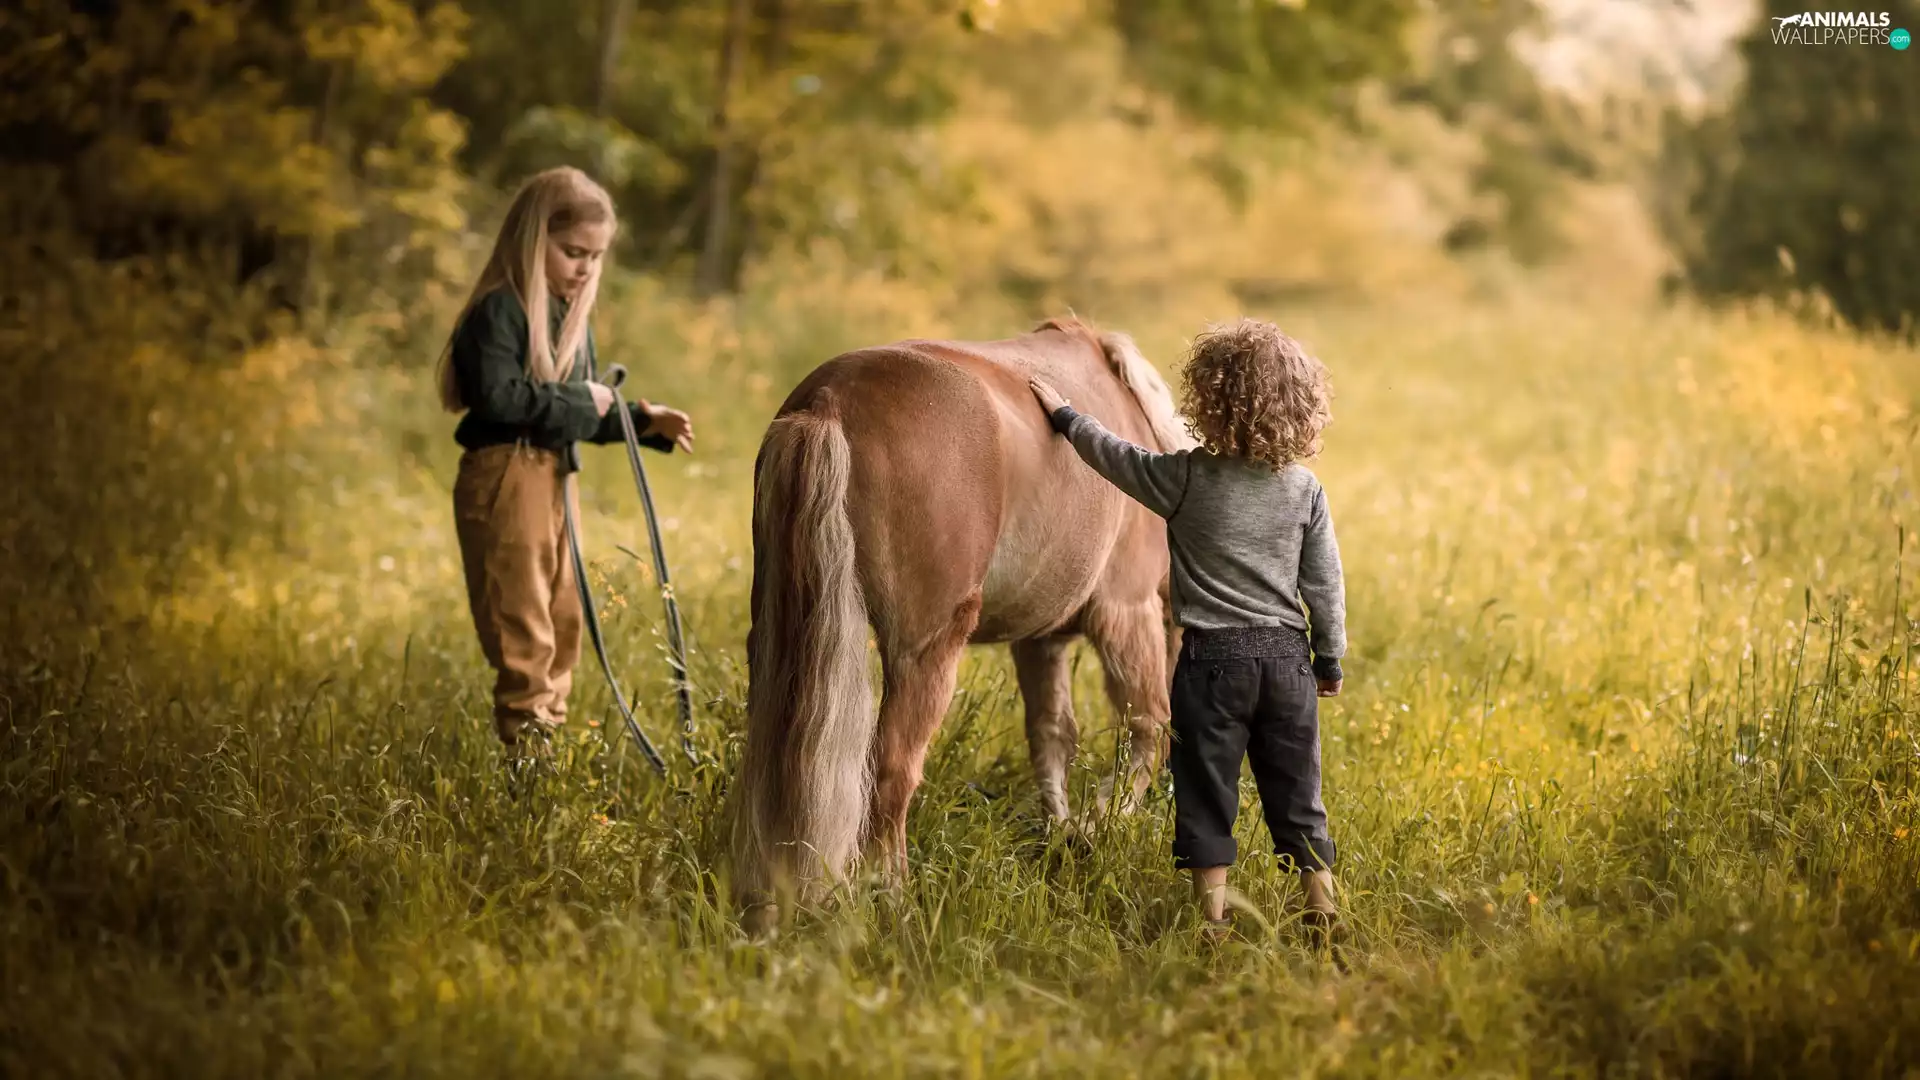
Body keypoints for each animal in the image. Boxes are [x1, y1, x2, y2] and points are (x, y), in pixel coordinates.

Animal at [730, 316, 1198, 924]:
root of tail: (830, 402)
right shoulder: (1126, 612)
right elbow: (1148, 728)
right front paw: (1095, 829)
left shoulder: (1040, 640)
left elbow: (1052, 737)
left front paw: (1062, 830)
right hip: (925, 653)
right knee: (892, 773)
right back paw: (893, 897)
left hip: (778, 643)